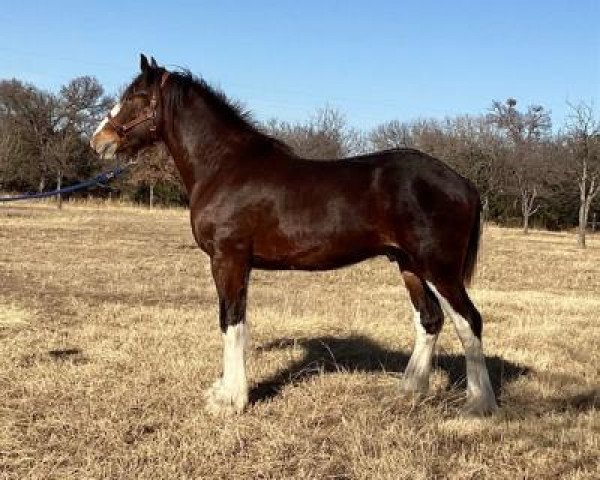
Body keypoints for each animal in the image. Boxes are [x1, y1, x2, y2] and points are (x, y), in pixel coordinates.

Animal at [90, 55, 496, 416]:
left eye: (137, 97)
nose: (99, 141)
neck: (224, 166)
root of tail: (464, 183)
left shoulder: (229, 259)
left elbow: (231, 321)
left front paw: (231, 400)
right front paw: (224, 392)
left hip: (439, 269)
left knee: (469, 321)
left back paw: (478, 405)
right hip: (409, 264)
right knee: (430, 319)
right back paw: (409, 390)